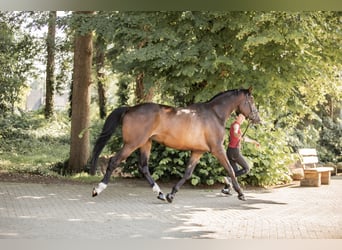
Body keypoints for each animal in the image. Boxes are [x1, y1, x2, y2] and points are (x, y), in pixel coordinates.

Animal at [89, 87, 260, 202]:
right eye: (251, 100)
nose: (258, 119)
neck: (215, 115)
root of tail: (130, 109)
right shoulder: (218, 149)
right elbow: (230, 170)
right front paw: (241, 194)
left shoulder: (197, 151)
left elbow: (187, 173)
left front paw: (172, 194)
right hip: (132, 144)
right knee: (114, 161)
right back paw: (98, 189)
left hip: (145, 143)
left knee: (143, 167)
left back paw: (160, 193)